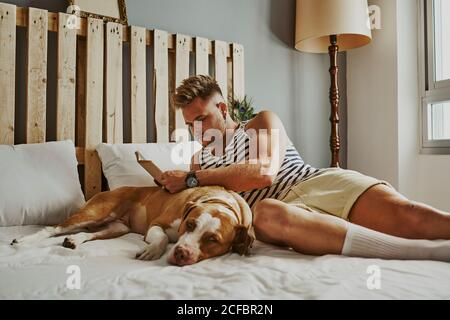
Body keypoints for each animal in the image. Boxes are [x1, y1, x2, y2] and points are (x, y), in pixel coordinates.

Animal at [10, 185, 255, 264]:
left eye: (213, 239)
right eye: (190, 224)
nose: (181, 253)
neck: (219, 200)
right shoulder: (157, 225)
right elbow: (162, 237)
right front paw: (151, 250)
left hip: (117, 227)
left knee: (90, 234)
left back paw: (74, 240)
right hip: (95, 212)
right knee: (53, 228)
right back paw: (23, 241)